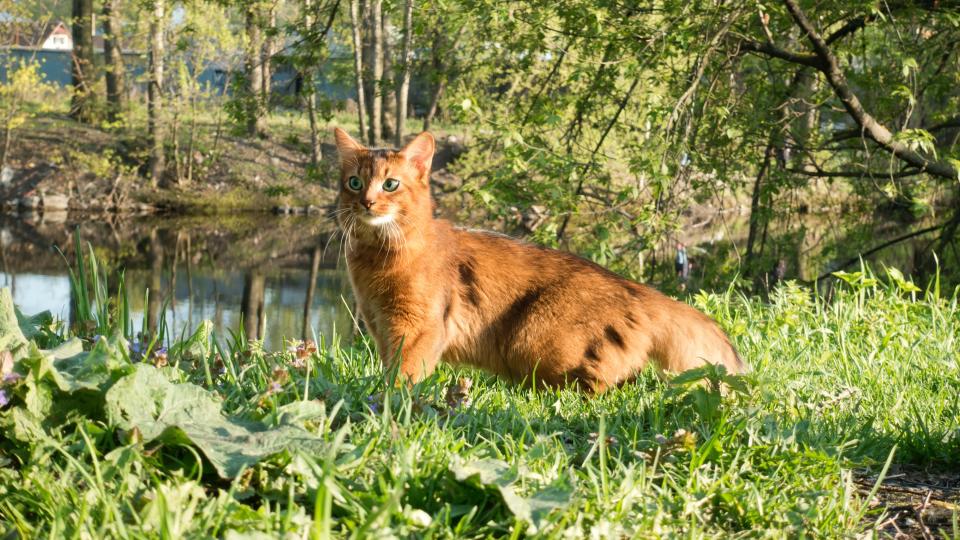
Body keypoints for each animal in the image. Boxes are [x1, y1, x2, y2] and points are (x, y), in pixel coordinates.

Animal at [334, 131, 748, 392]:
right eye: (354, 183)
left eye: (390, 184)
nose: (367, 203)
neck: (376, 258)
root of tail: (636, 289)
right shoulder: (381, 328)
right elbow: (390, 369)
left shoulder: (418, 327)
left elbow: (403, 378)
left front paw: (390, 401)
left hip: (531, 339)